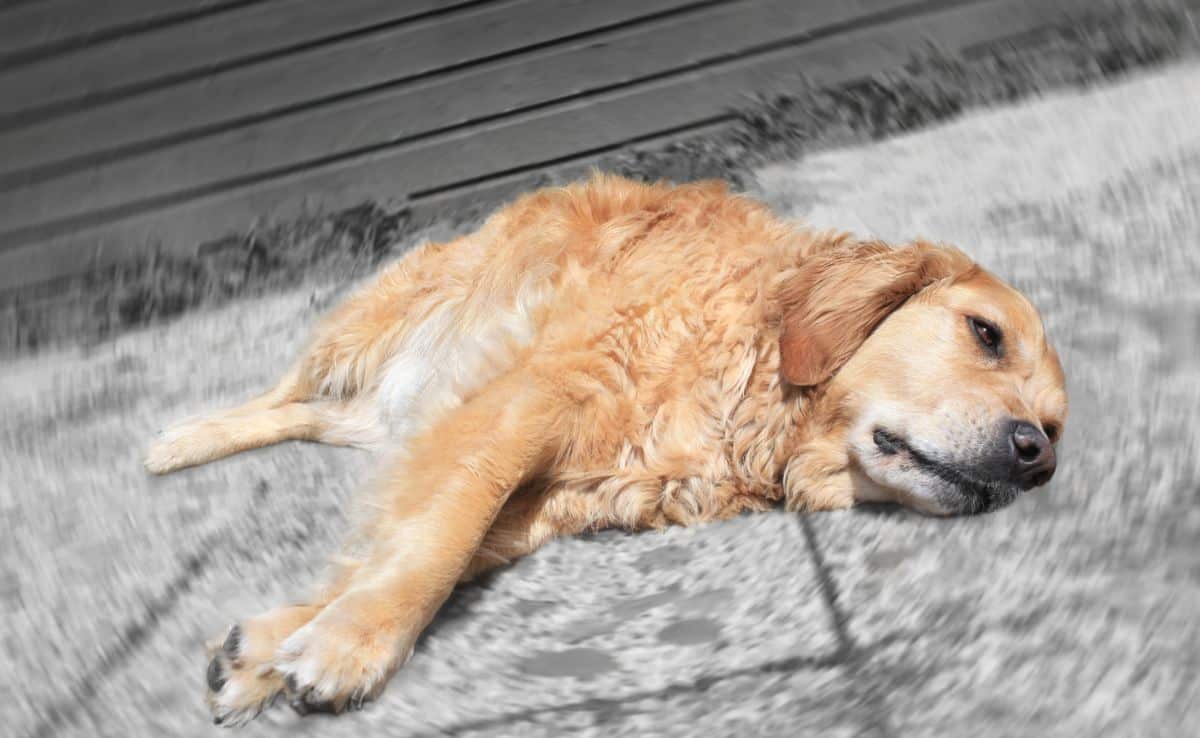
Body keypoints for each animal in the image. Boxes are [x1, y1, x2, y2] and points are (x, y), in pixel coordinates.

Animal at [142, 175, 1070, 729]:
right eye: (985, 334)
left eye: (1054, 429)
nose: (1035, 460)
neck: (753, 366)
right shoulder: (528, 403)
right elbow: (439, 538)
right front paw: (351, 647)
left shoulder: (551, 496)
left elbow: (413, 544)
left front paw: (269, 651)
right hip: (375, 325)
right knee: (285, 393)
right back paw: (180, 439)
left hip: (395, 403)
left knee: (319, 419)